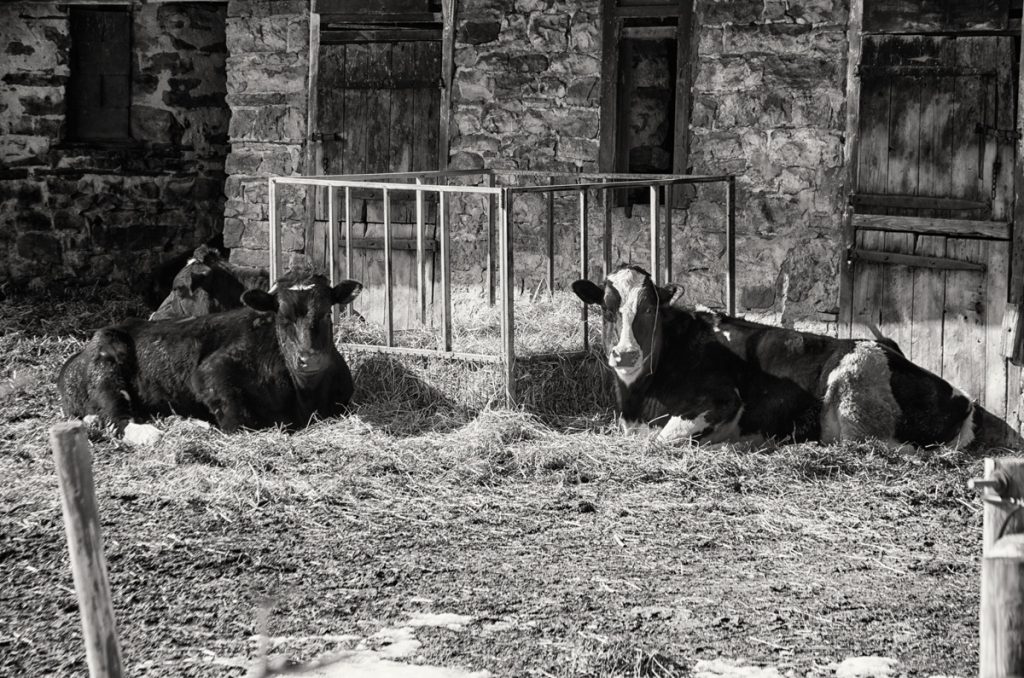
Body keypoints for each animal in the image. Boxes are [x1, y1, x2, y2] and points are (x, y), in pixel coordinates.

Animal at [58, 274, 364, 444]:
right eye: (282, 317)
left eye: (326, 313)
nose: (309, 359)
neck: (306, 398)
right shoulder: (209, 373)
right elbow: (239, 423)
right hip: (106, 370)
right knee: (116, 419)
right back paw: (157, 432)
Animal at [573, 266, 978, 450]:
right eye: (606, 309)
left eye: (649, 309)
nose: (626, 353)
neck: (638, 399)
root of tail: (963, 400)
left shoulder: (721, 400)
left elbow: (660, 440)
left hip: (854, 386)